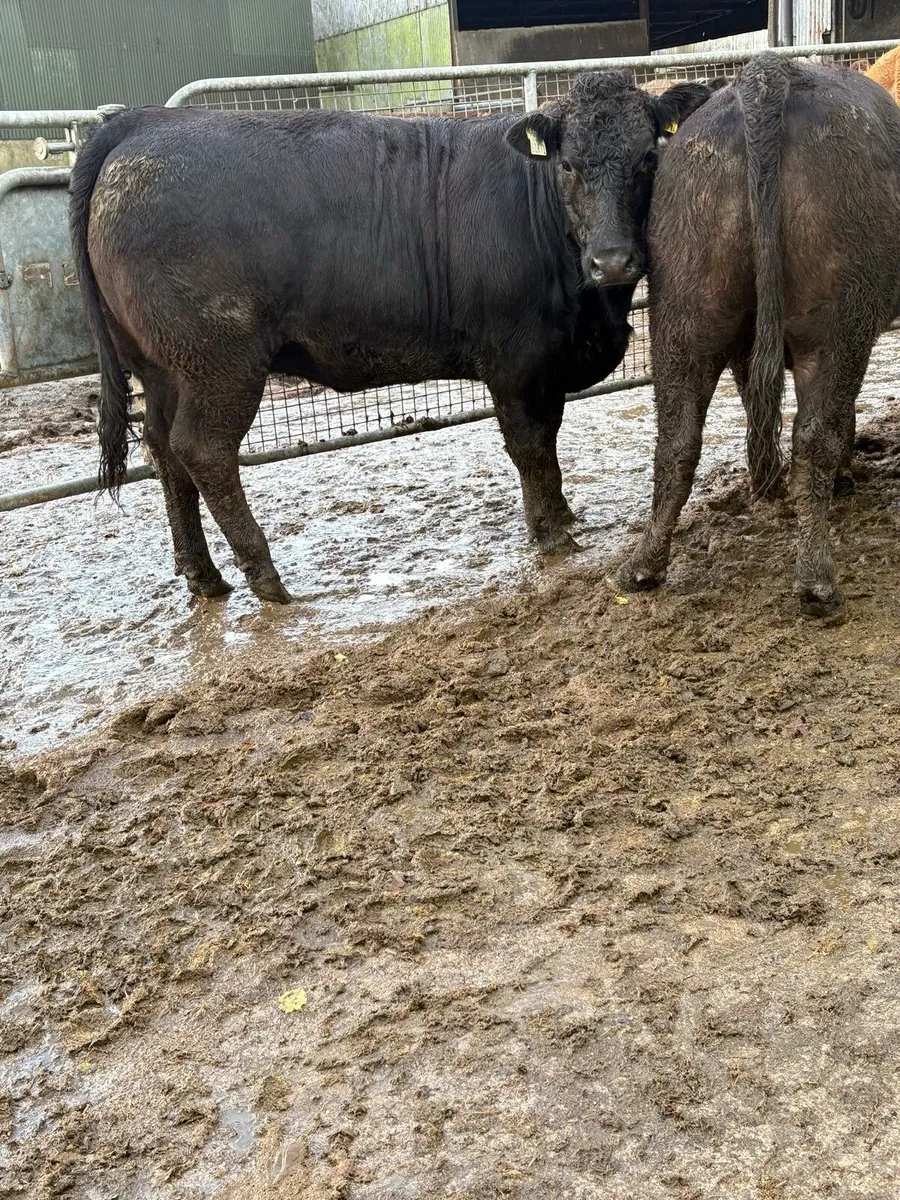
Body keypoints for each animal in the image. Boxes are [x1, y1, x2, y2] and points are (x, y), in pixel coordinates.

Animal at [69, 72, 712, 604]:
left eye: (647, 157)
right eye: (569, 165)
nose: (613, 260)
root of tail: (145, 121)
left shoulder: (547, 366)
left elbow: (549, 440)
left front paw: (564, 517)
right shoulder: (515, 359)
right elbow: (531, 447)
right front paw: (553, 535)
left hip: (159, 365)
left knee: (162, 450)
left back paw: (204, 576)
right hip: (220, 361)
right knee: (202, 449)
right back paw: (265, 577)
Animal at [618, 53, 900, 620]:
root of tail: (767, 74)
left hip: (685, 308)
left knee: (677, 438)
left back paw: (644, 565)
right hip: (837, 323)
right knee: (815, 435)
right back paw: (816, 582)